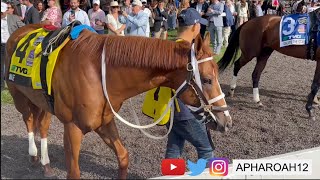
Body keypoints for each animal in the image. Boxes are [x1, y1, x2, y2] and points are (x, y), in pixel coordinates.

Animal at [5, 24, 232, 179]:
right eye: (207, 79)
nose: (226, 120)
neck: (98, 72)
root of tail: (20, 31)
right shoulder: (72, 127)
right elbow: (74, 172)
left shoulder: (104, 122)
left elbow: (123, 157)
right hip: (19, 97)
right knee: (29, 120)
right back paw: (34, 155)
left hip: (43, 102)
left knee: (42, 125)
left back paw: (45, 163)